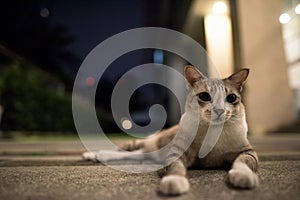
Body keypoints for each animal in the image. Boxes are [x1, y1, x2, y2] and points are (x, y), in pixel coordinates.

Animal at [83, 65, 258, 195]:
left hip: (147, 153)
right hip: (142, 143)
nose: (220, 110)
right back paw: (94, 155)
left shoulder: (247, 151)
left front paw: (243, 175)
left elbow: (243, 162)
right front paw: (174, 181)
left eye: (231, 98)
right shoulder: (177, 152)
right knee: (122, 149)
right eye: (205, 96)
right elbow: (175, 168)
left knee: (133, 155)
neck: (213, 133)